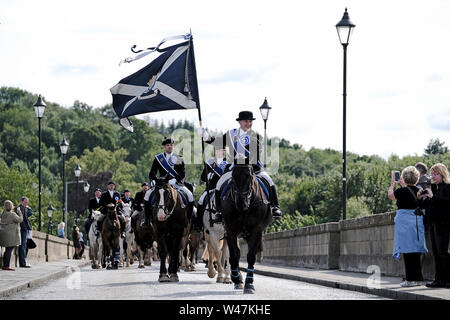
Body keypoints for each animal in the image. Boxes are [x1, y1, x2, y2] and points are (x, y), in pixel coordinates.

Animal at [218, 164, 270, 294]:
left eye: (249, 176)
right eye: (233, 175)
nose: (241, 203)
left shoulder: (256, 231)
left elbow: (251, 256)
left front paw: (249, 284)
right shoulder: (230, 230)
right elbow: (234, 255)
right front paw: (236, 278)